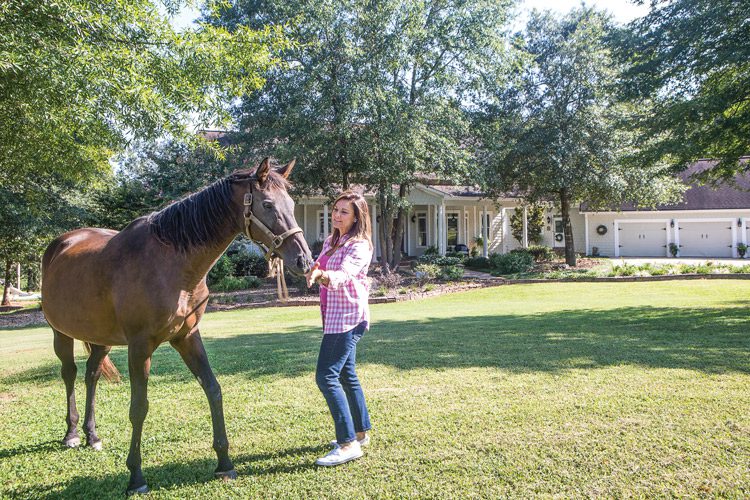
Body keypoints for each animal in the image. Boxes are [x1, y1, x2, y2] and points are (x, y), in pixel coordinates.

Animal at [41, 158, 312, 494]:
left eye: (292, 204)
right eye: (267, 204)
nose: (304, 260)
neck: (172, 265)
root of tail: (62, 243)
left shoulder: (188, 337)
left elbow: (213, 389)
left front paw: (224, 463)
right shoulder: (140, 346)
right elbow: (139, 407)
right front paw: (136, 477)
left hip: (100, 337)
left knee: (91, 374)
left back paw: (92, 435)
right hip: (61, 333)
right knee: (69, 374)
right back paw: (72, 433)